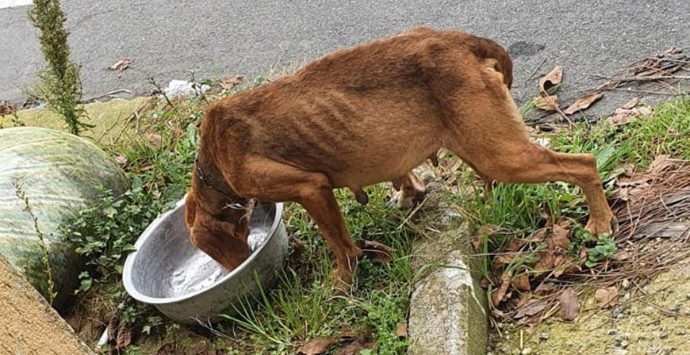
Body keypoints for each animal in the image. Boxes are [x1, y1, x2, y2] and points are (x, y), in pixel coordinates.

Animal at [184, 27, 612, 290]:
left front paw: (344, 281)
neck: (213, 161)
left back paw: (601, 221)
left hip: (500, 157)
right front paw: (410, 194)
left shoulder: (312, 189)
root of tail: (462, 40)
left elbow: (340, 245)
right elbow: (405, 175)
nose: (234, 272)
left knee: (584, 163)